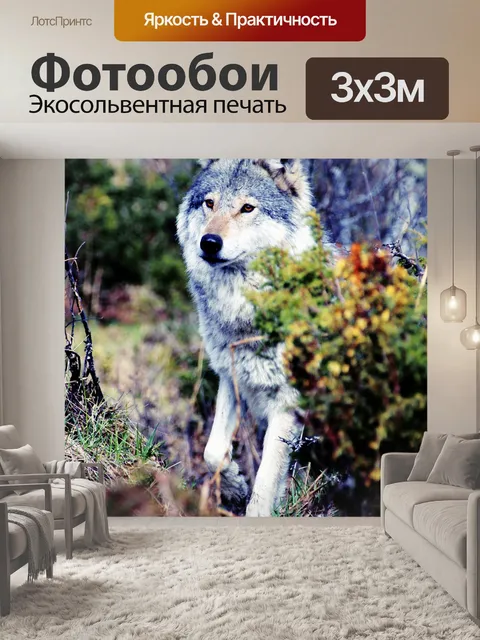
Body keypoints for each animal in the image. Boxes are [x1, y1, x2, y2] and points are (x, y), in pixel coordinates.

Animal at [177, 159, 316, 516]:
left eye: (247, 208)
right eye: (209, 203)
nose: (209, 242)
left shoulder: (287, 402)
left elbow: (265, 485)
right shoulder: (232, 377)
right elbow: (212, 452)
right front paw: (236, 486)